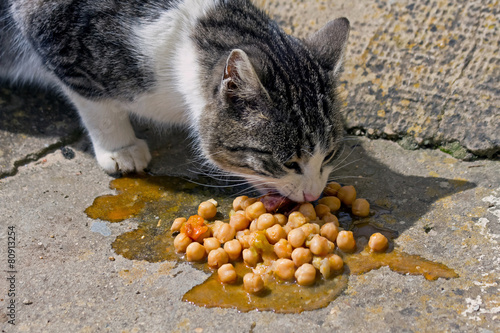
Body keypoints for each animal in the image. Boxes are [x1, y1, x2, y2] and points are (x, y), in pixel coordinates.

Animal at [0, 0, 350, 202]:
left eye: (331, 154)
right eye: (290, 163)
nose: (313, 195)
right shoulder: (53, 34)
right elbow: (95, 103)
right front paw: (120, 147)